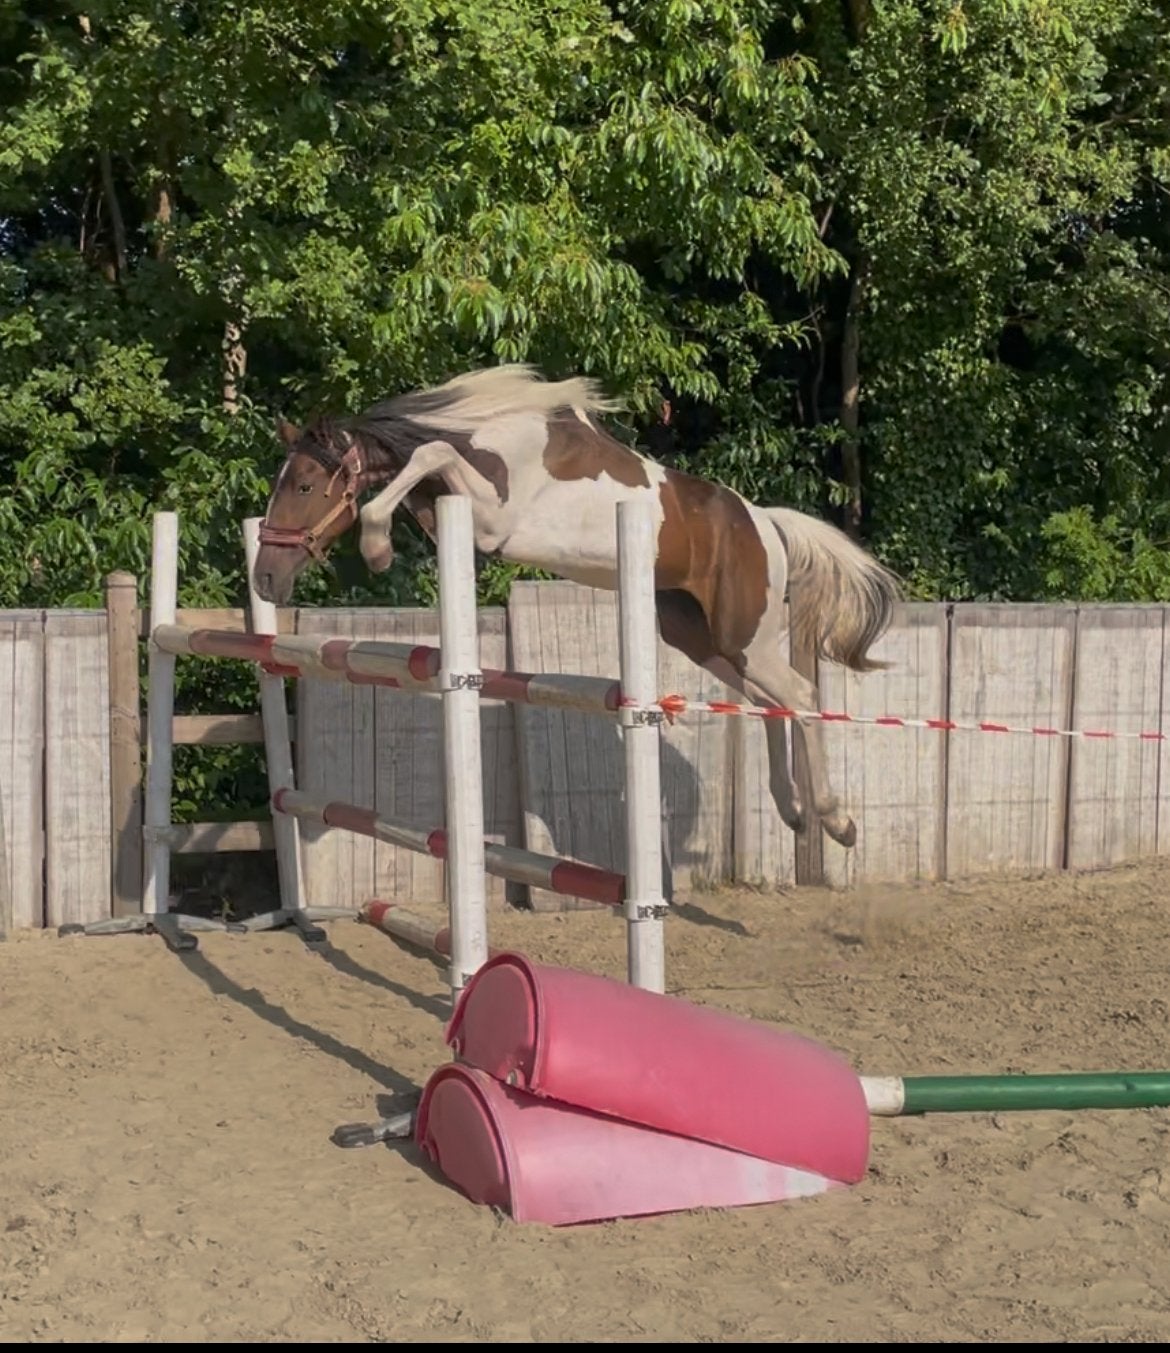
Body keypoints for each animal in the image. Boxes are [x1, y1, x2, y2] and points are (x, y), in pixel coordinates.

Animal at [253, 364, 900, 848]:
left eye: (305, 486)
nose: (264, 579)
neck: (490, 436)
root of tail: (764, 522)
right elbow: (424, 466)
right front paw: (383, 541)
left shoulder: (493, 518)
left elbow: (428, 452)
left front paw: (377, 545)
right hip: (702, 639)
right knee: (767, 701)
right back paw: (791, 810)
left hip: (746, 636)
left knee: (800, 694)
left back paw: (835, 818)